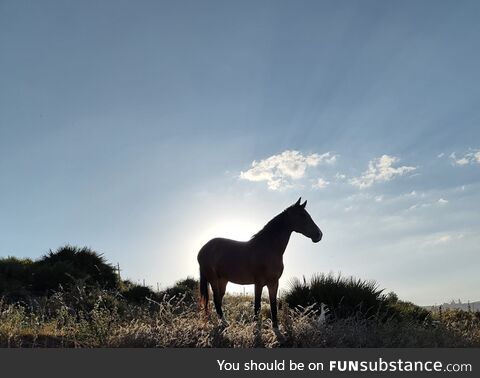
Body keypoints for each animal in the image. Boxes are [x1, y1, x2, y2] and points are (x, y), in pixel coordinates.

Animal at [197, 198, 320, 328]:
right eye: (303, 215)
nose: (319, 234)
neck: (268, 248)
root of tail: (203, 249)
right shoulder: (259, 283)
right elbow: (257, 306)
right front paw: (256, 326)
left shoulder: (274, 283)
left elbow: (273, 305)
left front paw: (275, 327)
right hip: (213, 279)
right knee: (216, 300)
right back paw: (224, 323)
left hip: (223, 281)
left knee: (218, 300)